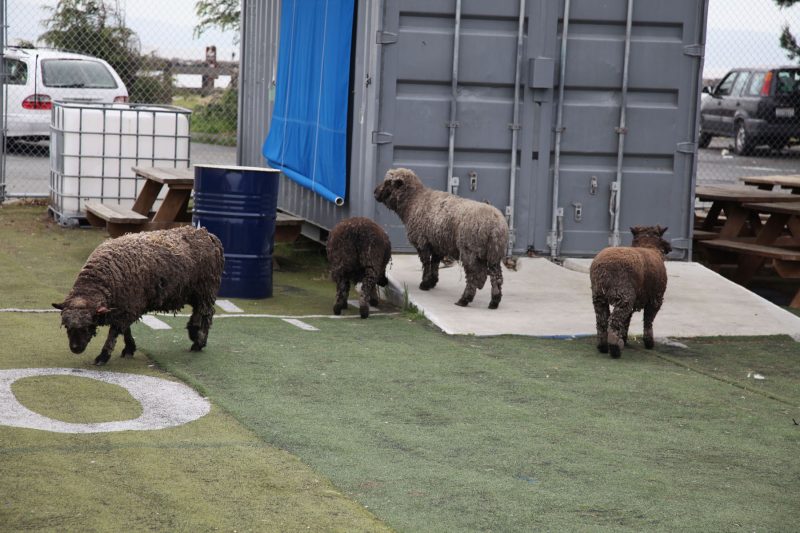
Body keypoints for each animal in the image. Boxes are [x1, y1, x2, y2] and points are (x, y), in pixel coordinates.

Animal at [53, 224, 223, 366]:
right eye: (66, 326)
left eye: (88, 326)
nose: (75, 348)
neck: (99, 280)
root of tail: (207, 234)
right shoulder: (125, 307)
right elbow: (125, 330)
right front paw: (129, 348)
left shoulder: (128, 306)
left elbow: (114, 333)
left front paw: (103, 356)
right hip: (193, 292)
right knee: (197, 312)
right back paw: (193, 332)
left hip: (206, 289)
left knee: (206, 314)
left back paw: (198, 342)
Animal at [374, 166, 510, 308]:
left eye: (388, 182)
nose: (375, 193)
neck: (414, 201)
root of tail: (495, 225)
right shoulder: (437, 243)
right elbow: (435, 262)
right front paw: (432, 281)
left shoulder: (422, 241)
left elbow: (426, 263)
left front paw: (424, 283)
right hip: (494, 253)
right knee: (497, 277)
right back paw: (494, 301)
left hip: (470, 251)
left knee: (474, 276)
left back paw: (464, 299)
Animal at [592, 224, 672, 358]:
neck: (648, 245)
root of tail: (604, 268)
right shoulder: (656, 299)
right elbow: (648, 320)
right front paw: (649, 342)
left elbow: (627, 321)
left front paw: (624, 338)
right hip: (624, 295)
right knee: (614, 321)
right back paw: (615, 348)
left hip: (599, 296)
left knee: (602, 321)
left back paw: (603, 346)